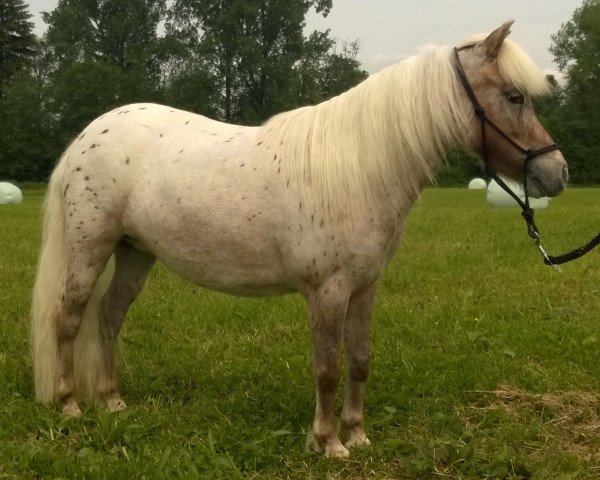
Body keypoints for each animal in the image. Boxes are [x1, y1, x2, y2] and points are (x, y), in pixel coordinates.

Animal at [31, 21, 568, 458]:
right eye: (514, 96)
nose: (557, 173)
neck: (360, 166)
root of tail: (88, 136)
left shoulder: (364, 287)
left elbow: (359, 360)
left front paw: (358, 435)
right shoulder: (327, 291)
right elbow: (326, 367)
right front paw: (328, 443)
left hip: (136, 253)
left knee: (109, 317)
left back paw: (113, 401)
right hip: (89, 249)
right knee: (69, 318)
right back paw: (70, 405)